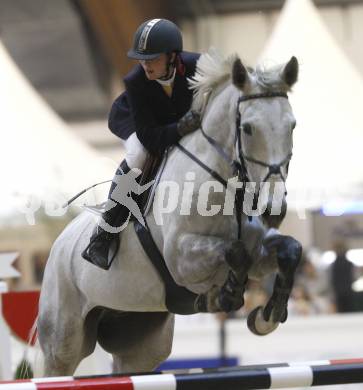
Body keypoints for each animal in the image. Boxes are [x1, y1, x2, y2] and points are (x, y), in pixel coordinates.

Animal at [38, 48, 302, 374]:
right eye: (248, 128)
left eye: (292, 126)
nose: (272, 210)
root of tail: (59, 244)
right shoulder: (182, 259)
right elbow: (235, 251)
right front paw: (224, 296)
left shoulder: (258, 252)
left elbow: (289, 250)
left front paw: (267, 317)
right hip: (63, 338)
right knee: (58, 363)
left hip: (141, 342)